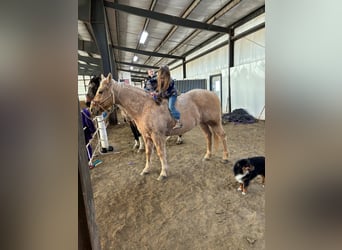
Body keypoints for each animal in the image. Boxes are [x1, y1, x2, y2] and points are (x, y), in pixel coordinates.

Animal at [90, 73, 230, 181]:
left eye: (100, 91)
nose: (91, 109)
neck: (144, 106)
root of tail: (212, 94)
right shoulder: (146, 136)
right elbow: (148, 153)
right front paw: (146, 169)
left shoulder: (157, 136)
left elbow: (160, 153)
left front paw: (163, 173)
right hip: (203, 123)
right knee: (208, 136)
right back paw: (208, 156)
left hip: (215, 122)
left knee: (222, 136)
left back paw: (225, 158)